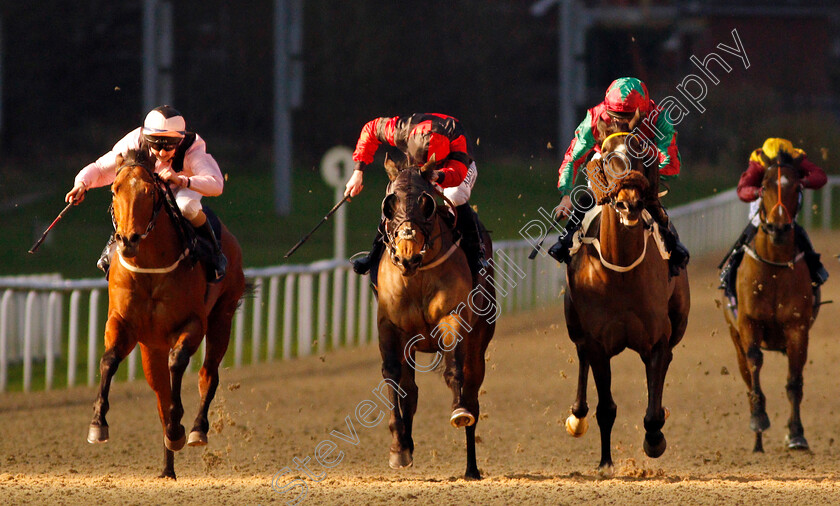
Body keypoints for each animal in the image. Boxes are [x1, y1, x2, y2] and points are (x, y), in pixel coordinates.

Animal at [86, 149, 246, 478]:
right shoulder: (123, 324)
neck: (149, 267)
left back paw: (195, 429)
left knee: (207, 374)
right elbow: (109, 360)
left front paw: (178, 427)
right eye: (114, 189)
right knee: (160, 393)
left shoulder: (193, 323)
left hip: (222, 317)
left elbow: (179, 362)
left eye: (150, 192)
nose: (128, 240)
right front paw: (98, 424)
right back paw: (167, 468)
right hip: (151, 348)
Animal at [374, 156, 492, 480]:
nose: (406, 256)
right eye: (390, 204)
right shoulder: (389, 326)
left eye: (426, 203)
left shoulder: (452, 317)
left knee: (473, 393)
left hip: (479, 340)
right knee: (410, 391)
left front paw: (458, 411)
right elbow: (394, 378)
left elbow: (454, 373)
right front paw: (399, 446)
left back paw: (471, 468)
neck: (417, 276)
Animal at [560, 124, 692, 476]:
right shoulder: (597, 342)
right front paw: (606, 462)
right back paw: (576, 416)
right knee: (581, 356)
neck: (620, 269)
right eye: (607, 157)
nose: (628, 204)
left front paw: (655, 440)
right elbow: (606, 407)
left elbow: (653, 410)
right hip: (574, 322)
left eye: (641, 152)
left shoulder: (657, 339)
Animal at [720, 152, 812, 452]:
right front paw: (759, 418)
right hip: (734, 335)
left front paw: (796, 434)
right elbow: (755, 363)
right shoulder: (748, 323)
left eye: (797, 187)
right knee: (748, 377)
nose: (779, 228)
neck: (773, 267)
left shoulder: (798, 328)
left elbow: (794, 383)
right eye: (763, 187)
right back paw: (757, 441)